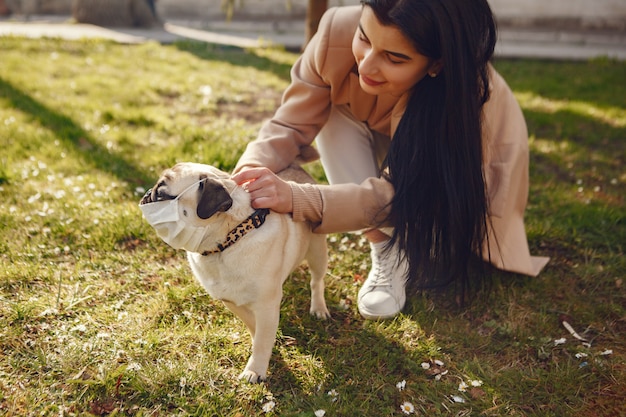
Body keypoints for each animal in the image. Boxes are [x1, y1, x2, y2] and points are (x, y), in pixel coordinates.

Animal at [139, 162, 330, 380]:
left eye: (162, 193)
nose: (148, 192)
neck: (227, 242)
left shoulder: (266, 305)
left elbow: (262, 341)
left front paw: (255, 369)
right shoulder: (231, 300)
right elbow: (255, 328)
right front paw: (264, 344)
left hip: (317, 252)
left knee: (316, 281)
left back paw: (319, 308)